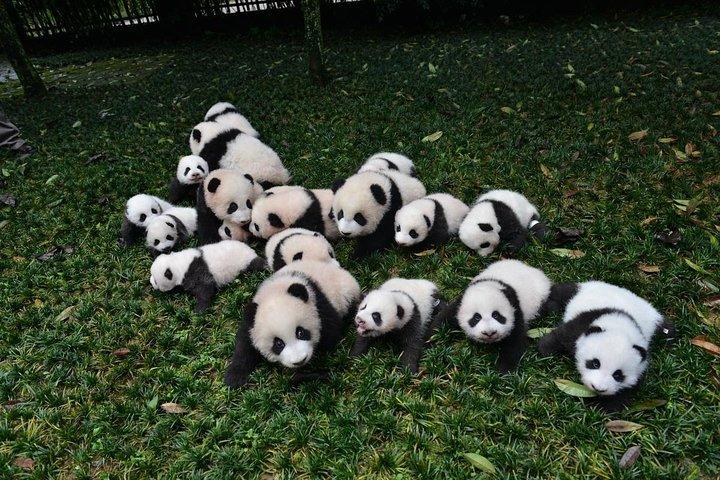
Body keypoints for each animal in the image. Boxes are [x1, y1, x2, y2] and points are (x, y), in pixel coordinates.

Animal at [224, 260, 361, 388]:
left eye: (300, 332)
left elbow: (331, 335)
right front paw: (234, 378)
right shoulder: (252, 322)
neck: (276, 291)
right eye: (278, 343)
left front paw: (309, 373)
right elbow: (244, 344)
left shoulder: (318, 304)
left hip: (346, 294)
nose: (299, 360)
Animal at [537, 281, 675, 412]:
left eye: (618, 375)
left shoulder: (640, 365)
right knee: (560, 292)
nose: (598, 388)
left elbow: (626, 390)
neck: (622, 326)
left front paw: (602, 407)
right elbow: (563, 335)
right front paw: (545, 352)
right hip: (580, 290)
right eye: (595, 363)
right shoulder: (586, 322)